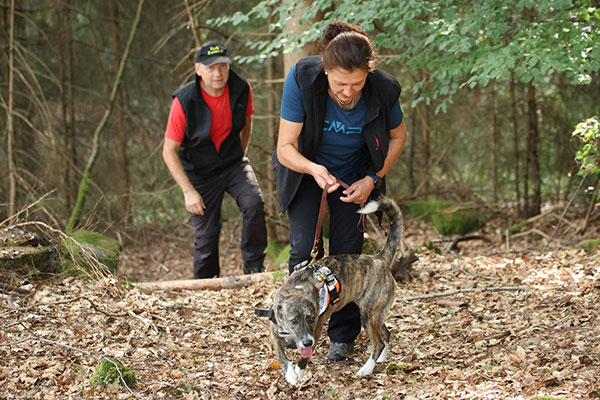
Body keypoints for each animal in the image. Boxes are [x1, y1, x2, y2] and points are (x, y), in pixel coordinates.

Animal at [268, 196, 404, 384]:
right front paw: (290, 373)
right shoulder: (275, 333)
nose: (307, 343)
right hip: (376, 314)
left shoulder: (316, 330)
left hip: (368, 315)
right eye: (294, 320)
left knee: (378, 343)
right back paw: (382, 359)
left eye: (311, 318)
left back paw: (366, 369)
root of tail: (379, 259)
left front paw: (299, 372)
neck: (297, 289)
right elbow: (281, 355)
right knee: (386, 334)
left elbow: (303, 357)